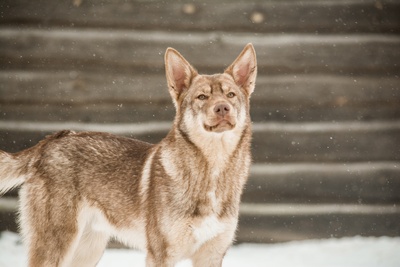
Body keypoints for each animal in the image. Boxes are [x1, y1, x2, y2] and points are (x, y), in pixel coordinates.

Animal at [0, 43, 256, 266]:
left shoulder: (212, 255)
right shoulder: (160, 255)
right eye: (202, 97)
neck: (213, 169)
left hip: (87, 252)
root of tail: (48, 142)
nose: (222, 108)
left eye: (231, 95)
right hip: (56, 247)